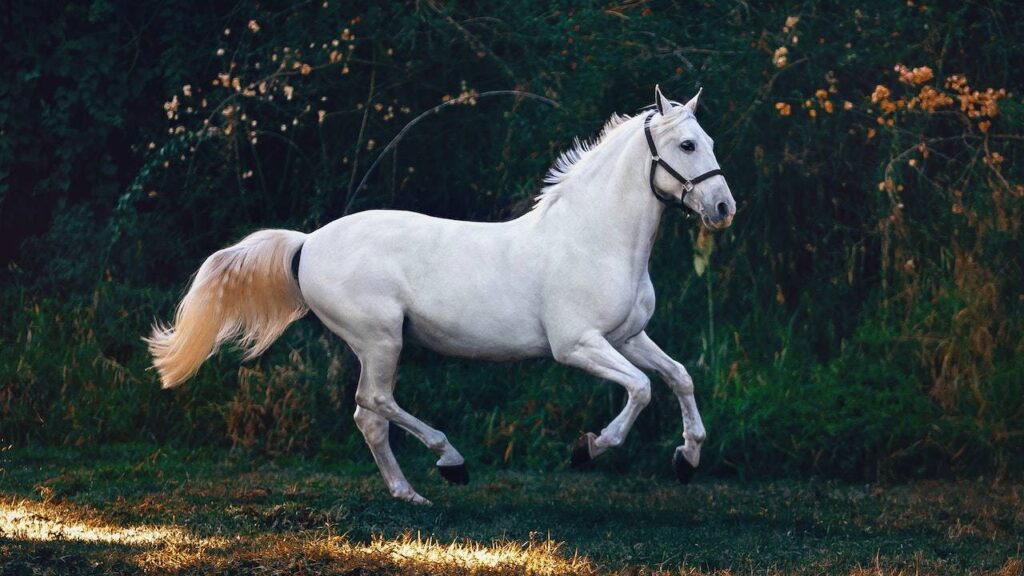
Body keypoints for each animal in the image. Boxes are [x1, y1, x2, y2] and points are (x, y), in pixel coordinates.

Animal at [146, 85, 737, 502]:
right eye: (687, 144)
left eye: (710, 142)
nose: (723, 208)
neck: (594, 238)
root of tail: (307, 243)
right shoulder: (578, 345)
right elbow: (641, 388)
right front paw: (589, 449)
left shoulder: (628, 336)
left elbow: (679, 377)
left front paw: (687, 459)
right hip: (380, 339)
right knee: (374, 403)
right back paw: (449, 462)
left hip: (379, 344)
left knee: (368, 417)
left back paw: (409, 493)